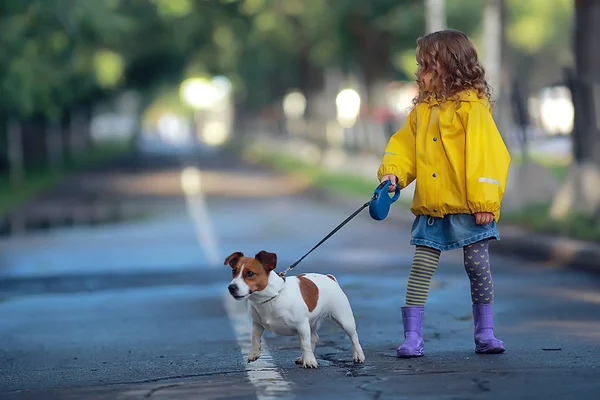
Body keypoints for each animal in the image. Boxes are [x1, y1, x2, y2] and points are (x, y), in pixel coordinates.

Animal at [226, 250, 364, 368]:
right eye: (233, 271)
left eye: (250, 273)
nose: (231, 287)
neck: (271, 297)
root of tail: (330, 278)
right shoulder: (257, 324)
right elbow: (254, 338)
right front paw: (254, 353)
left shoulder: (301, 325)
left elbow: (304, 344)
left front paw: (309, 361)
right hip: (312, 322)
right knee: (314, 338)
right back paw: (302, 357)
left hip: (344, 319)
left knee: (354, 337)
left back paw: (358, 355)